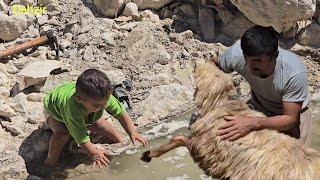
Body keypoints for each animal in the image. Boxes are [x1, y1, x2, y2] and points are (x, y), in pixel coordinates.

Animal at [141, 61, 320, 179]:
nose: (197, 60)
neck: (222, 104)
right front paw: (149, 154)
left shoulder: (205, 149)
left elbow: (179, 139)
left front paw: (149, 154)